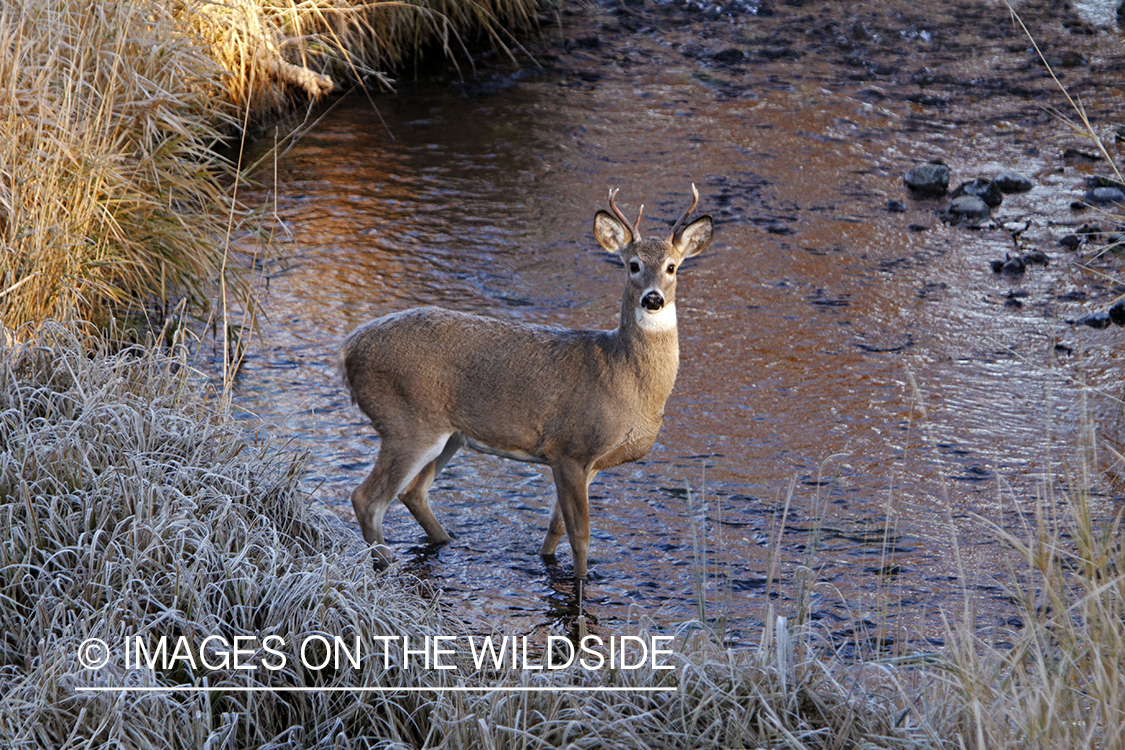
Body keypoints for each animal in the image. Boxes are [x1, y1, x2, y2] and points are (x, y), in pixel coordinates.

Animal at [339, 186, 711, 580]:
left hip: (449, 435)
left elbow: (555, 528)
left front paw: (548, 563)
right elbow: (580, 535)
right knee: (367, 500)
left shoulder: (588, 463)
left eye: (672, 267)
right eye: (633, 264)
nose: (653, 299)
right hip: (407, 422)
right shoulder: (570, 449)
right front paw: (581, 582)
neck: (623, 376)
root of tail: (348, 349)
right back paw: (387, 567)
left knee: (413, 493)